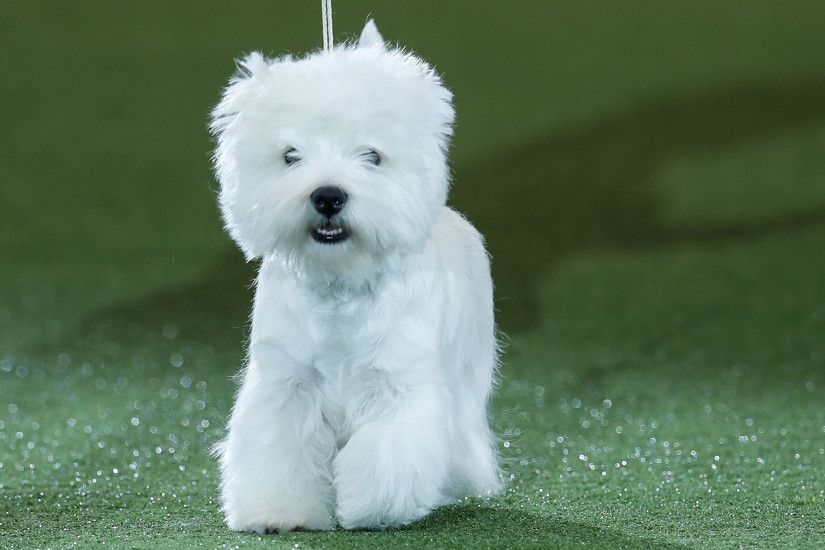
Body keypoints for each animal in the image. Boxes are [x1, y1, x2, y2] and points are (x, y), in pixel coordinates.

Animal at [209, 21, 498, 536]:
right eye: (290, 156)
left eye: (373, 155)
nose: (328, 196)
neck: (341, 285)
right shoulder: (287, 382)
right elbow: (279, 448)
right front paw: (279, 512)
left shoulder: (398, 384)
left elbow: (388, 454)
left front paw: (370, 508)